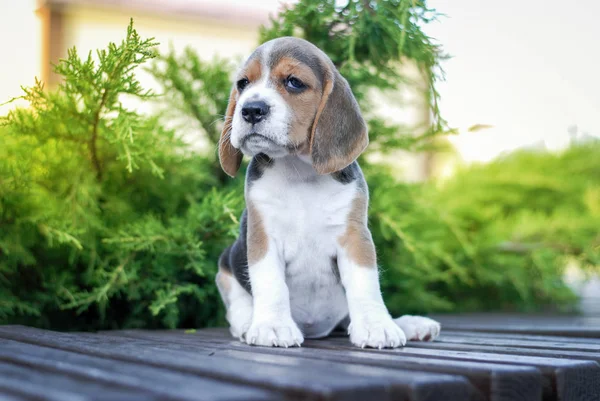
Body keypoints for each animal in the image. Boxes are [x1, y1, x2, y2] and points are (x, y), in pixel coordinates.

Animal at [216, 37, 440, 346]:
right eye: (242, 83)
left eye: (294, 82)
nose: (250, 109)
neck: (299, 172)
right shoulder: (262, 237)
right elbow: (271, 285)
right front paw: (273, 326)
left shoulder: (355, 236)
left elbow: (365, 284)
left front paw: (376, 325)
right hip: (227, 259)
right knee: (236, 301)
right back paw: (247, 322)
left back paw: (410, 324)